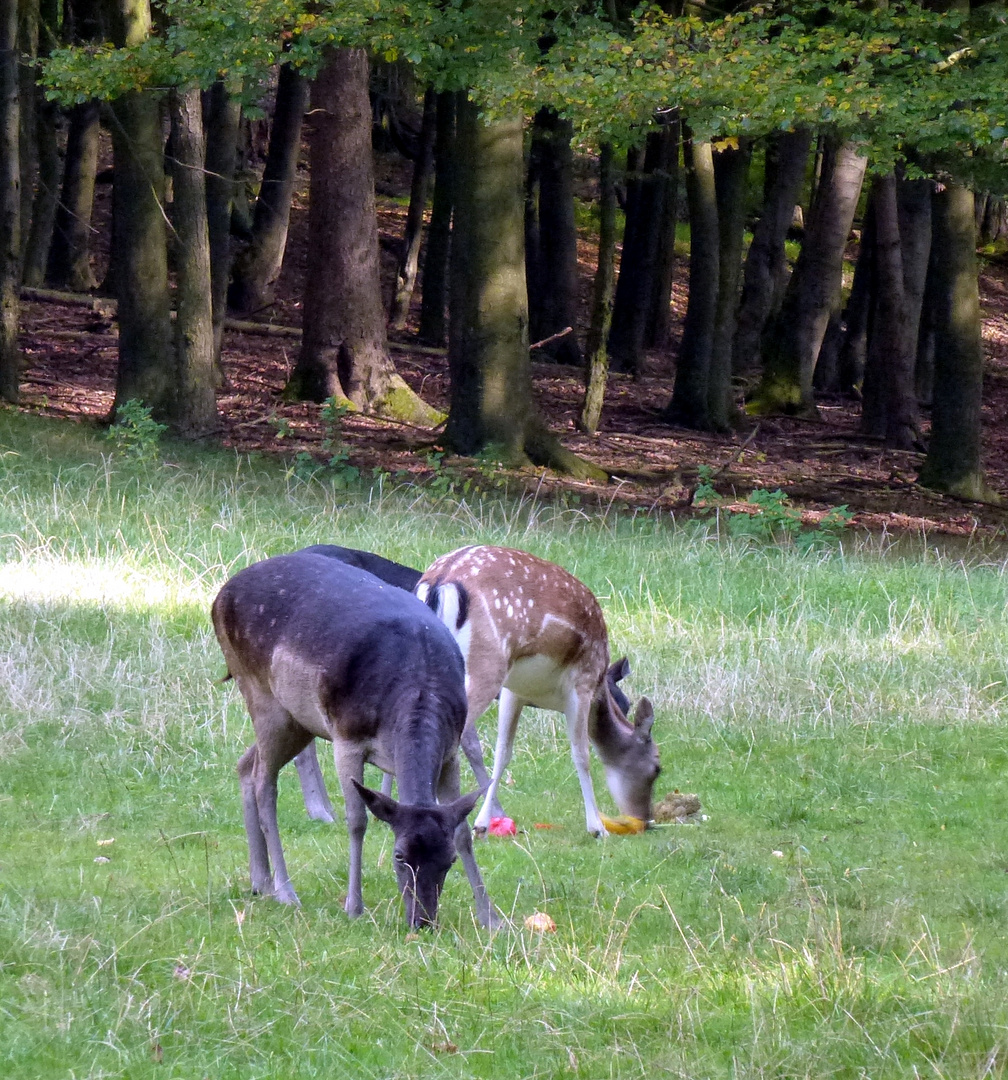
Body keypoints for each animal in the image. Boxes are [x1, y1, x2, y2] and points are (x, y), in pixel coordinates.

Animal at [212, 552, 494, 933]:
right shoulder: (347, 738)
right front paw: (354, 906)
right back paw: (285, 891)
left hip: (298, 720)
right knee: (263, 782)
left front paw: (490, 916)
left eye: (448, 860)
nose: (422, 921)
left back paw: (260, 881)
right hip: (261, 694)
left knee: (245, 764)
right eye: (399, 855)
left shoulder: (451, 749)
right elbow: (357, 820)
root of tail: (219, 596)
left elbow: (463, 829)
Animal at [410, 544, 656, 838]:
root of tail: (441, 581)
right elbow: (581, 754)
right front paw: (597, 827)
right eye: (656, 768)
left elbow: (503, 753)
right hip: (486, 665)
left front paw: (483, 824)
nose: (646, 819)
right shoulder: (582, 682)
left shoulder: (513, 691)